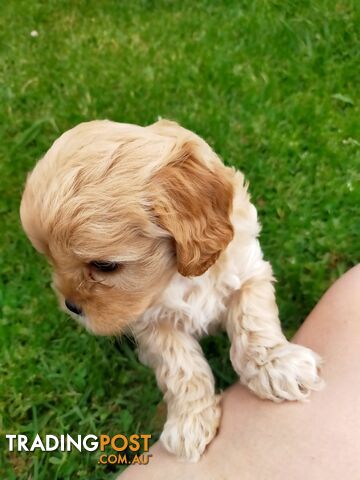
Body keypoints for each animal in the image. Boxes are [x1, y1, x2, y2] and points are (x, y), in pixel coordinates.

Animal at [19, 119, 324, 462]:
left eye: (105, 266)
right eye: (51, 259)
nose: (71, 306)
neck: (178, 276)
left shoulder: (248, 273)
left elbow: (253, 324)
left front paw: (276, 366)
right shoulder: (152, 323)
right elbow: (181, 367)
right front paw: (190, 422)